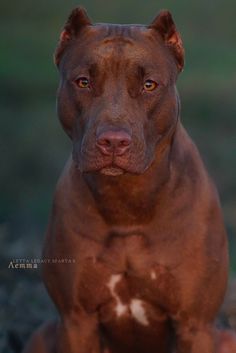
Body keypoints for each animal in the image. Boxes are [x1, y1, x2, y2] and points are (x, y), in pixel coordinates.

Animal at [23, 6, 235, 352]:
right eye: (83, 82)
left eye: (149, 85)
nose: (113, 141)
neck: (127, 203)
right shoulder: (76, 319)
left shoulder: (196, 324)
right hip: (43, 334)